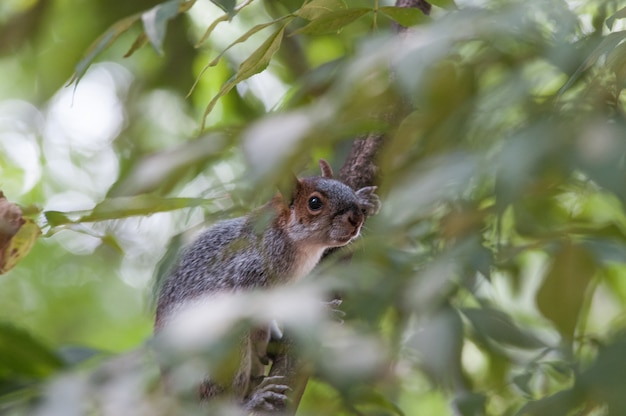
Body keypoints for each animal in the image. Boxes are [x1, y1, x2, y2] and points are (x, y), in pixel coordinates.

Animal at [155, 160, 380, 412]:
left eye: (346, 188)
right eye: (314, 203)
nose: (356, 218)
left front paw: (366, 200)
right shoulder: (249, 272)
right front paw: (318, 310)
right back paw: (252, 400)